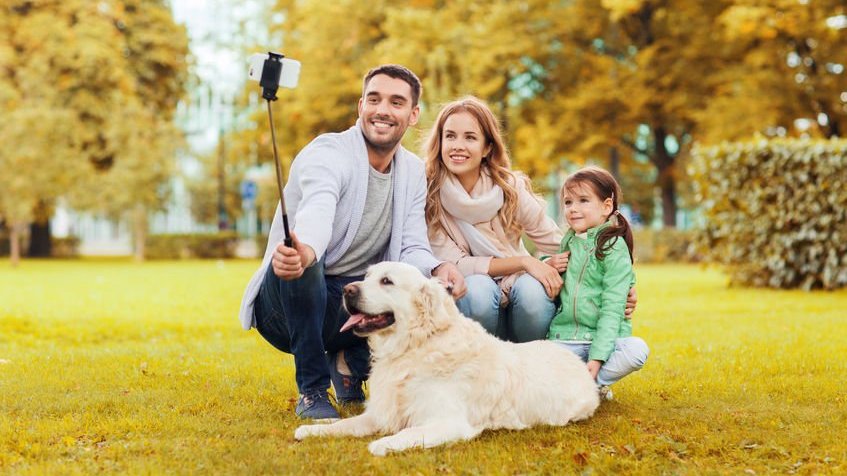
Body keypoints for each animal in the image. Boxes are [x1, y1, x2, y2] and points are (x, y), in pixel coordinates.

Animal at [294, 262, 600, 456]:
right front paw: (313, 429)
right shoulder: (381, 412)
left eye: (387, 281)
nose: (348, 291)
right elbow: (345, 424)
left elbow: (407, 433)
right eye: (367, 276)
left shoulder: (450, 422)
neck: (413, 348)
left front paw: (383, 443)